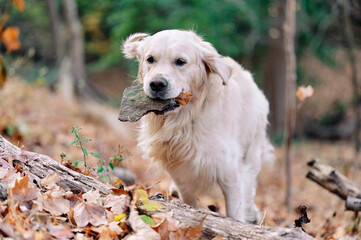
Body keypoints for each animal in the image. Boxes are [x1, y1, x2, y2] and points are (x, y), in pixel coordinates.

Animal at [121, 29, 272, 223]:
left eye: (180, 61)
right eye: (150, 59)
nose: (156, 84)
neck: (186, 119)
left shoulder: (229, 170)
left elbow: (235, 210)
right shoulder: (178, 170)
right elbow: (189, 200)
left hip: (251, 151)